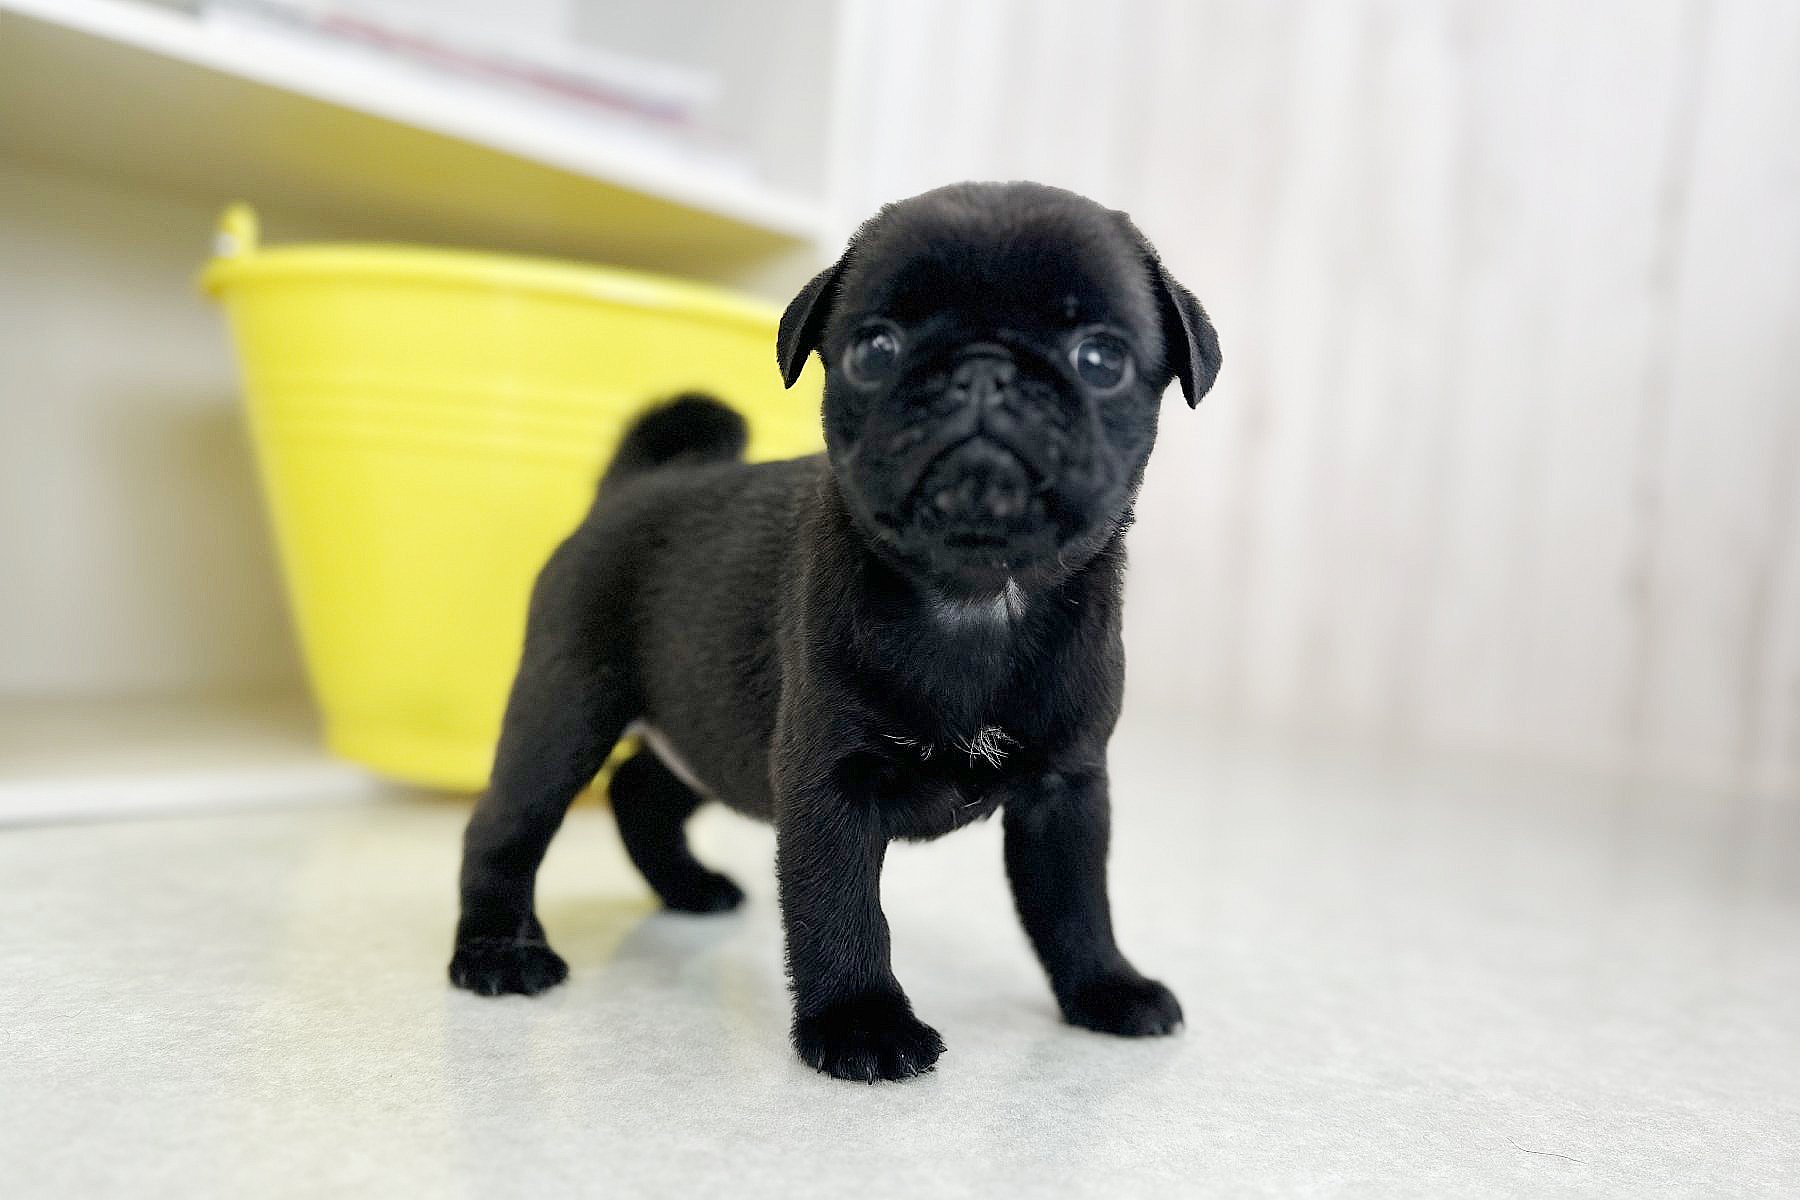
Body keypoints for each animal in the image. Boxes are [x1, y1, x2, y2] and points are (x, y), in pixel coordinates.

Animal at [450, 181, 1221, 1082]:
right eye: (874, 350)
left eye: (1101, 359)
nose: (985, 368)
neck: (975, 594)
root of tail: (627, 488)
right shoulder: (829, 781)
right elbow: (843, 912)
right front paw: (862, 1024)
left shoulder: (1065, 790)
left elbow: (1076, 903)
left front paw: (1105, 988)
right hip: (569, 711)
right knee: (508, 825)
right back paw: (498, 951)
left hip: (712, 724)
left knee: (642, 788)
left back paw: (688, 888)